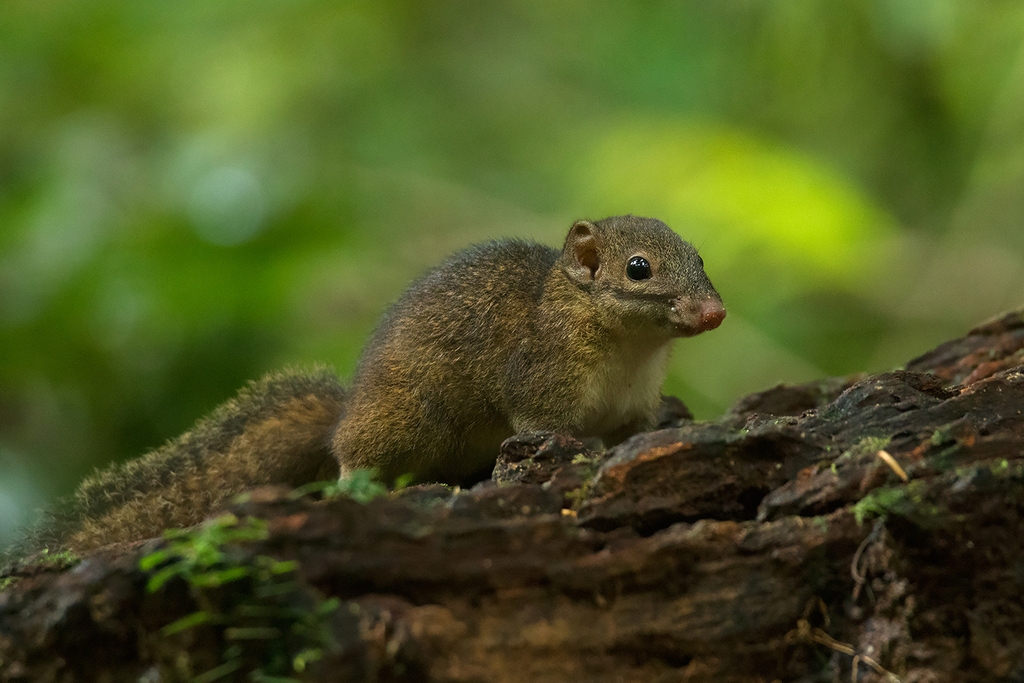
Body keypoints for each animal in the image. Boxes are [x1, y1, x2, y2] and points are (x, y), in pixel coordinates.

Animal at [20, 215, 725, 555]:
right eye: (639, 269)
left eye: (701, 258)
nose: (716, 312)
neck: (630, 352)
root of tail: (347, 409)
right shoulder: (538, 379)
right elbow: (540, 427)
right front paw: (570, 452)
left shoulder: (631, 404)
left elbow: (638, 426)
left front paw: (673, 418)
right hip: (402, 420)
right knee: (350, 461)